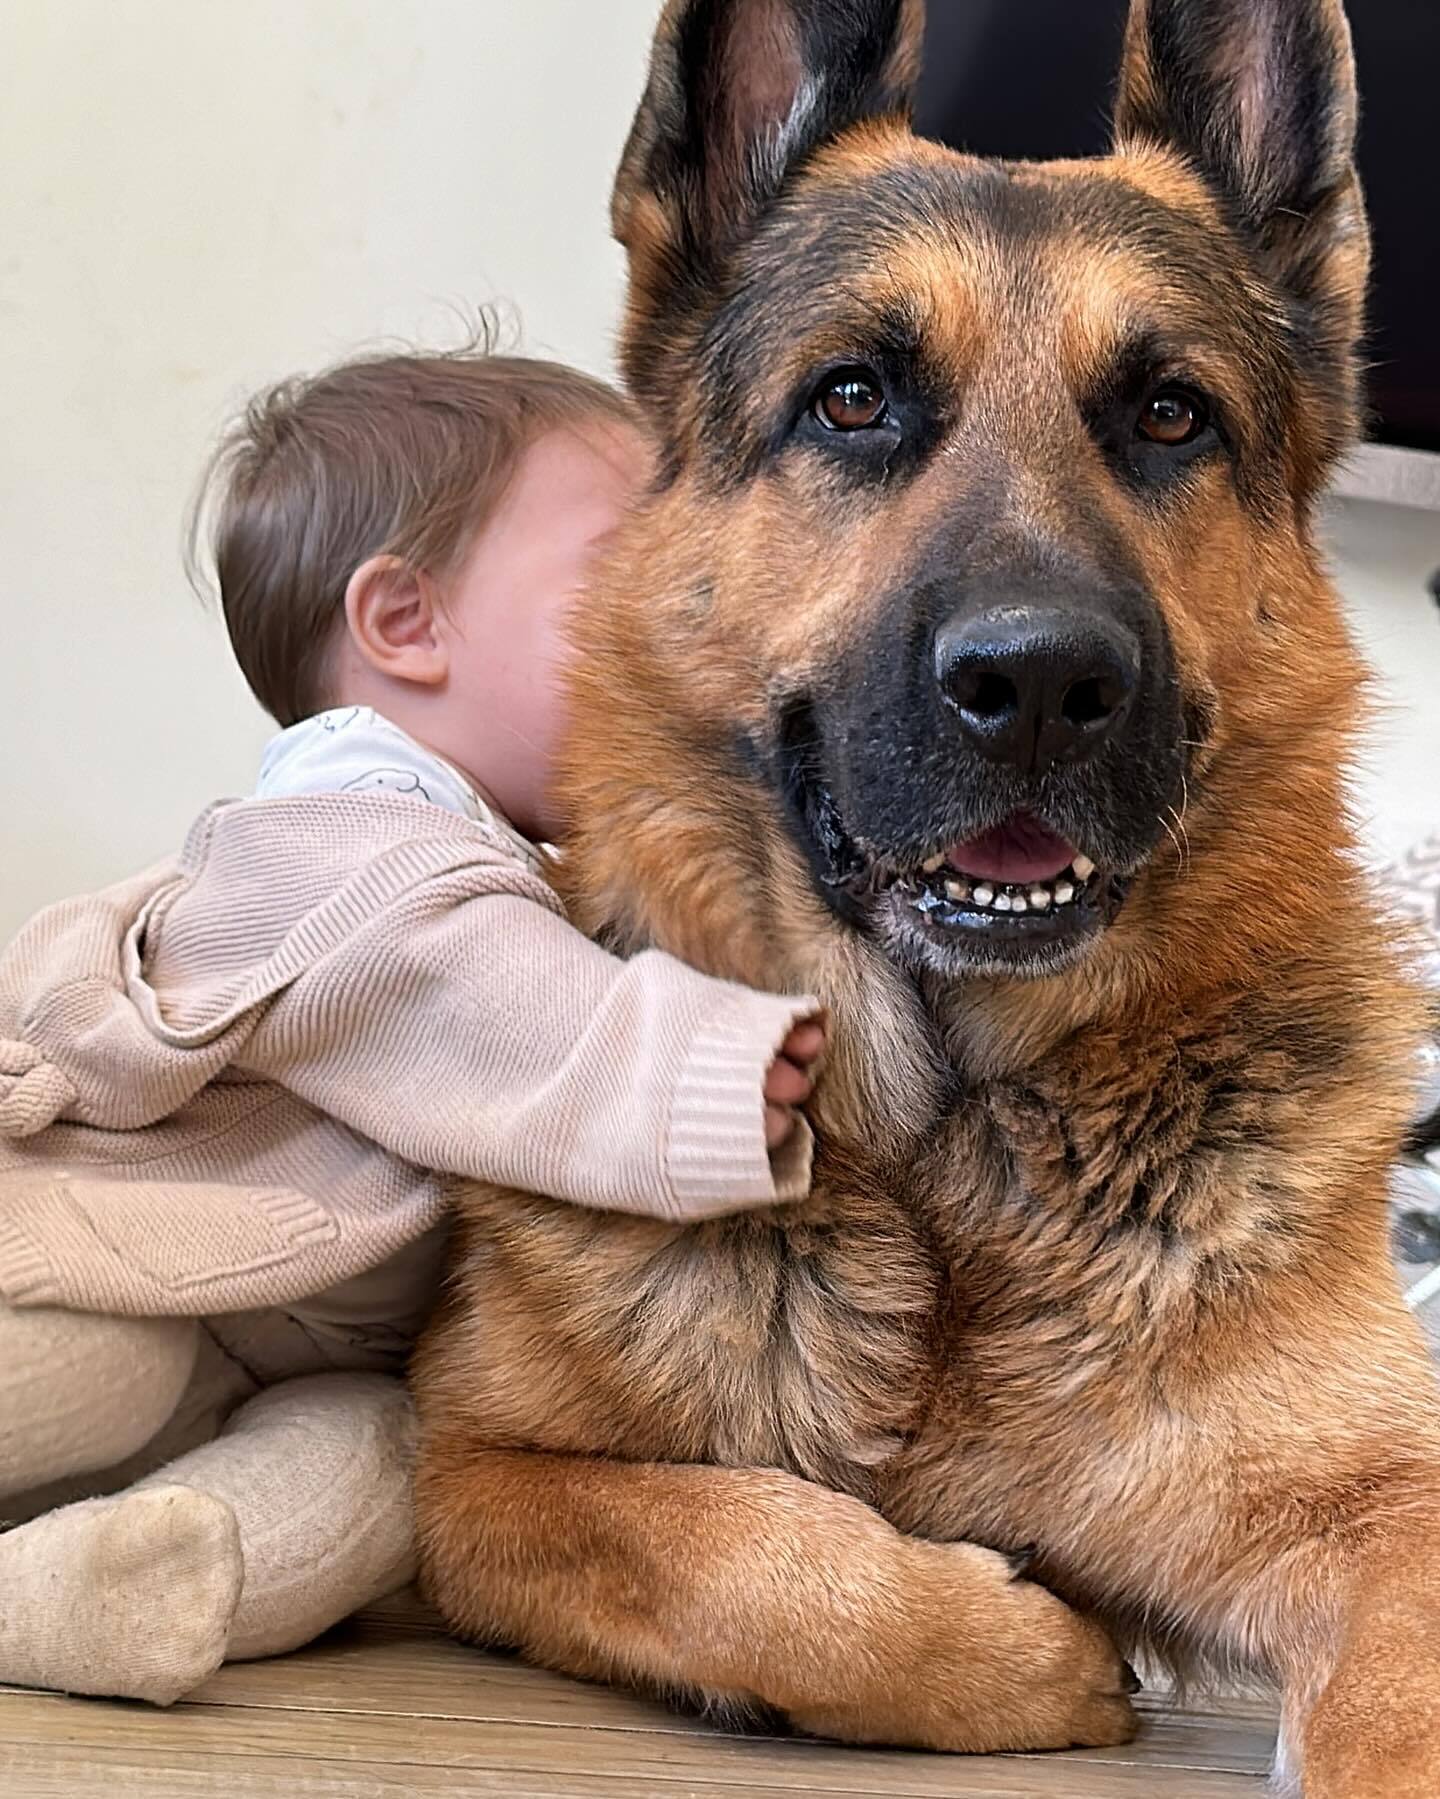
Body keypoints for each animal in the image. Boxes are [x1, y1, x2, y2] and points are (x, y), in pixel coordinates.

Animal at [410, 7, 1440, 1791]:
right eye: (852, 398)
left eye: (1171, 415)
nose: (1038, 685)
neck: (946, 1157)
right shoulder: (465, 1468)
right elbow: (735, 1549)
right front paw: (1019, 1650)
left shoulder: (1399, 1512)